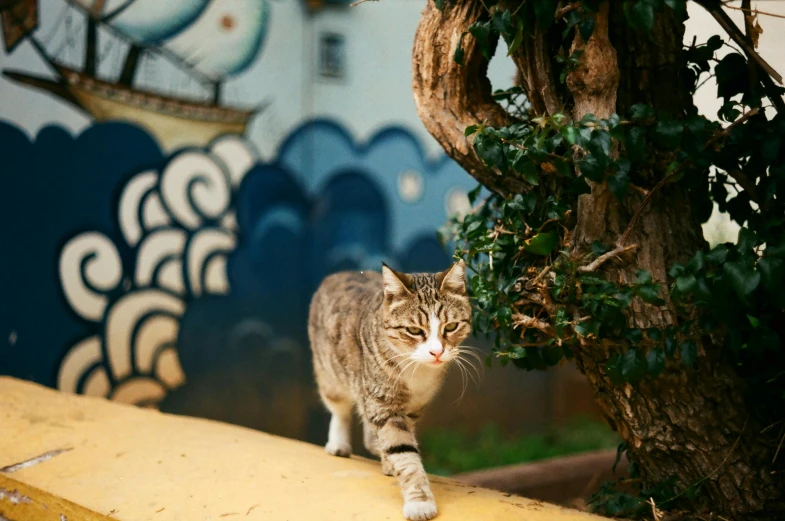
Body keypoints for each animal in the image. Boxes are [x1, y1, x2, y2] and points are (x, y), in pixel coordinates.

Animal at [308, 262, 468, 516]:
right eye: (414, 330)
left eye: (451, 326)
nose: (437, 352)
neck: (417, 370)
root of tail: (341, 272)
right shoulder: (383, 404)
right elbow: (404, 453)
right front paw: (419, 501)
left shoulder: (412, 407)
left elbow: (399, 442)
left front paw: (391, 463)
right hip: (329, 374)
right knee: (339, 410)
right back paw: (339, 444)